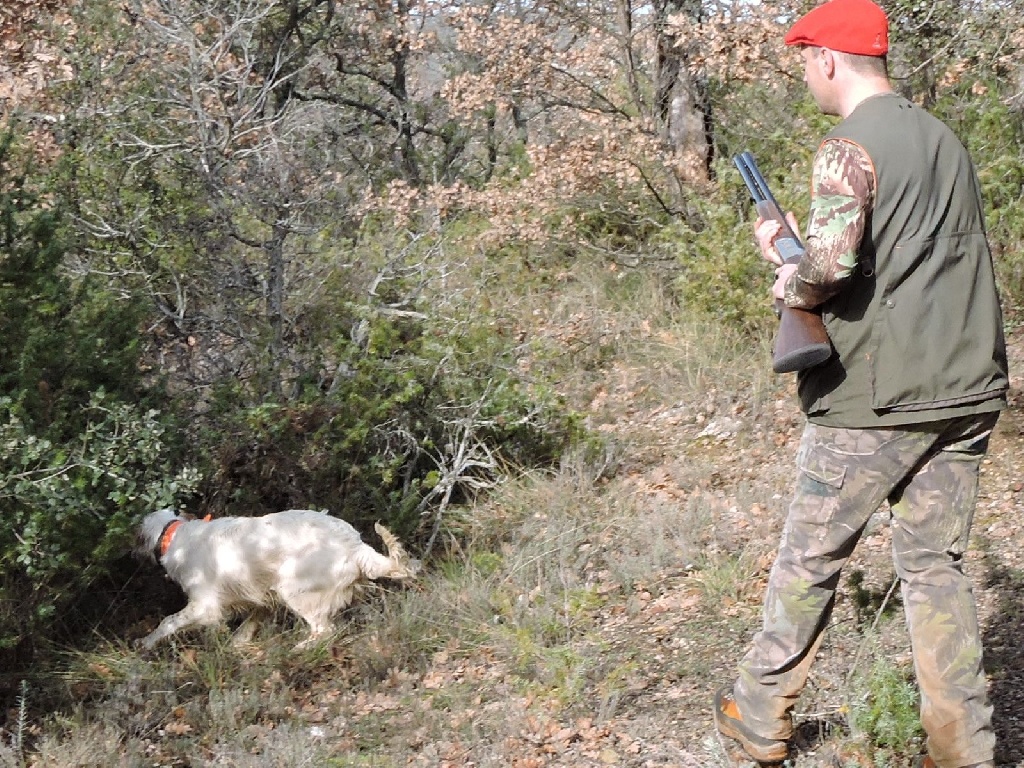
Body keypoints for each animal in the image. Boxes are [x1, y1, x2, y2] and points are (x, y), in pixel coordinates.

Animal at [137, 512, 419, 651]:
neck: (175, 535)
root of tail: (355, 546)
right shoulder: (260, 597)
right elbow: (250, 623)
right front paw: (239, 644)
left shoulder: (205, 606)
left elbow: (168, 622)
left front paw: (145, 643)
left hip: (292, 587)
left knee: (325, 630)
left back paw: (300, 647)